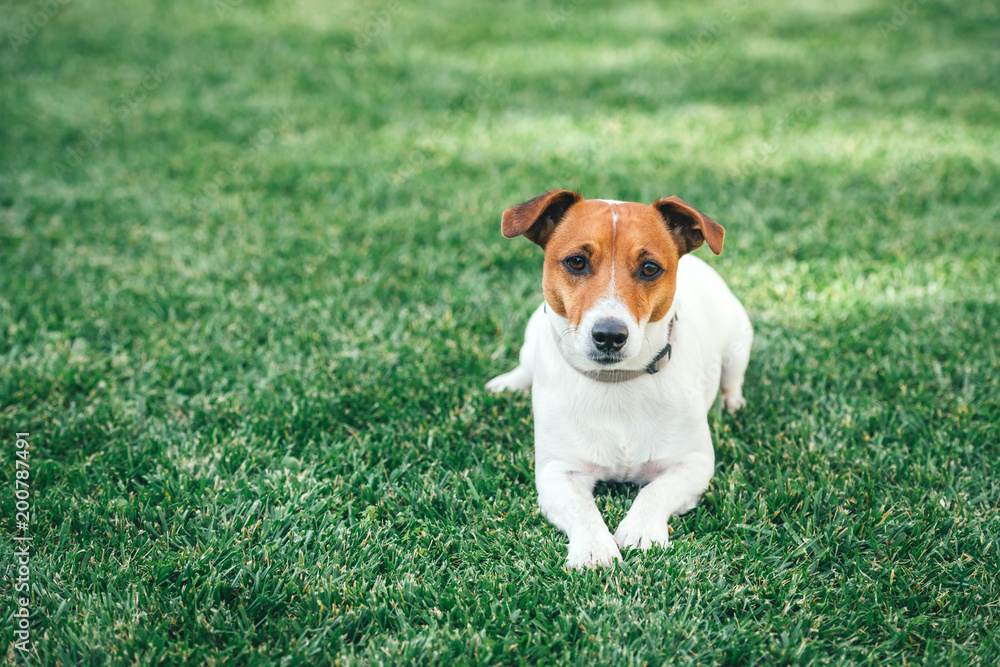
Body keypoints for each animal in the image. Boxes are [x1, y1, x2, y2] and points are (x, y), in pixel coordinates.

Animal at [484, 192, 752, 568]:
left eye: (650, 268)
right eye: (576, 262)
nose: (609, 335)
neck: (616, 382)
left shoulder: (694, 463)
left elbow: (656, 490)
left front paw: (641, 530)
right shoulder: (557, 473)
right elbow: (581, 508)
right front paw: (594, 548)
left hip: (738, 344)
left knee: (733, 378)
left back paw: (733, 402)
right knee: (525, 366)